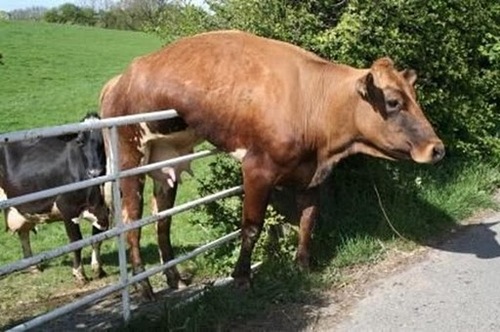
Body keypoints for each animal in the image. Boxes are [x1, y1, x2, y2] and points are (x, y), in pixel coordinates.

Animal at [0, 113, 109, 282]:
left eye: (104, 140)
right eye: (79, 141)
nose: (95, 172)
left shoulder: (104, 210)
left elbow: (97, 238)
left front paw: (98, 269)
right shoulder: (67, 209)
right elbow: (76, 240)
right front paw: (79, 273)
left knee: (23, 234)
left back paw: (33, 267)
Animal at [99, 29, 444, 300]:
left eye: (414, 97)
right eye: (394, 102)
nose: (437, 149)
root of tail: (119, 80)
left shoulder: (311, 175)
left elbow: (308, 219)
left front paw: (302, 265)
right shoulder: (257, 169)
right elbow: (251, 227)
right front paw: (242, 277)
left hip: (165, 160)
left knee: (162, 220)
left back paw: (174, 278)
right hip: (129, 157)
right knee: (130, 222)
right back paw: (145, 289)